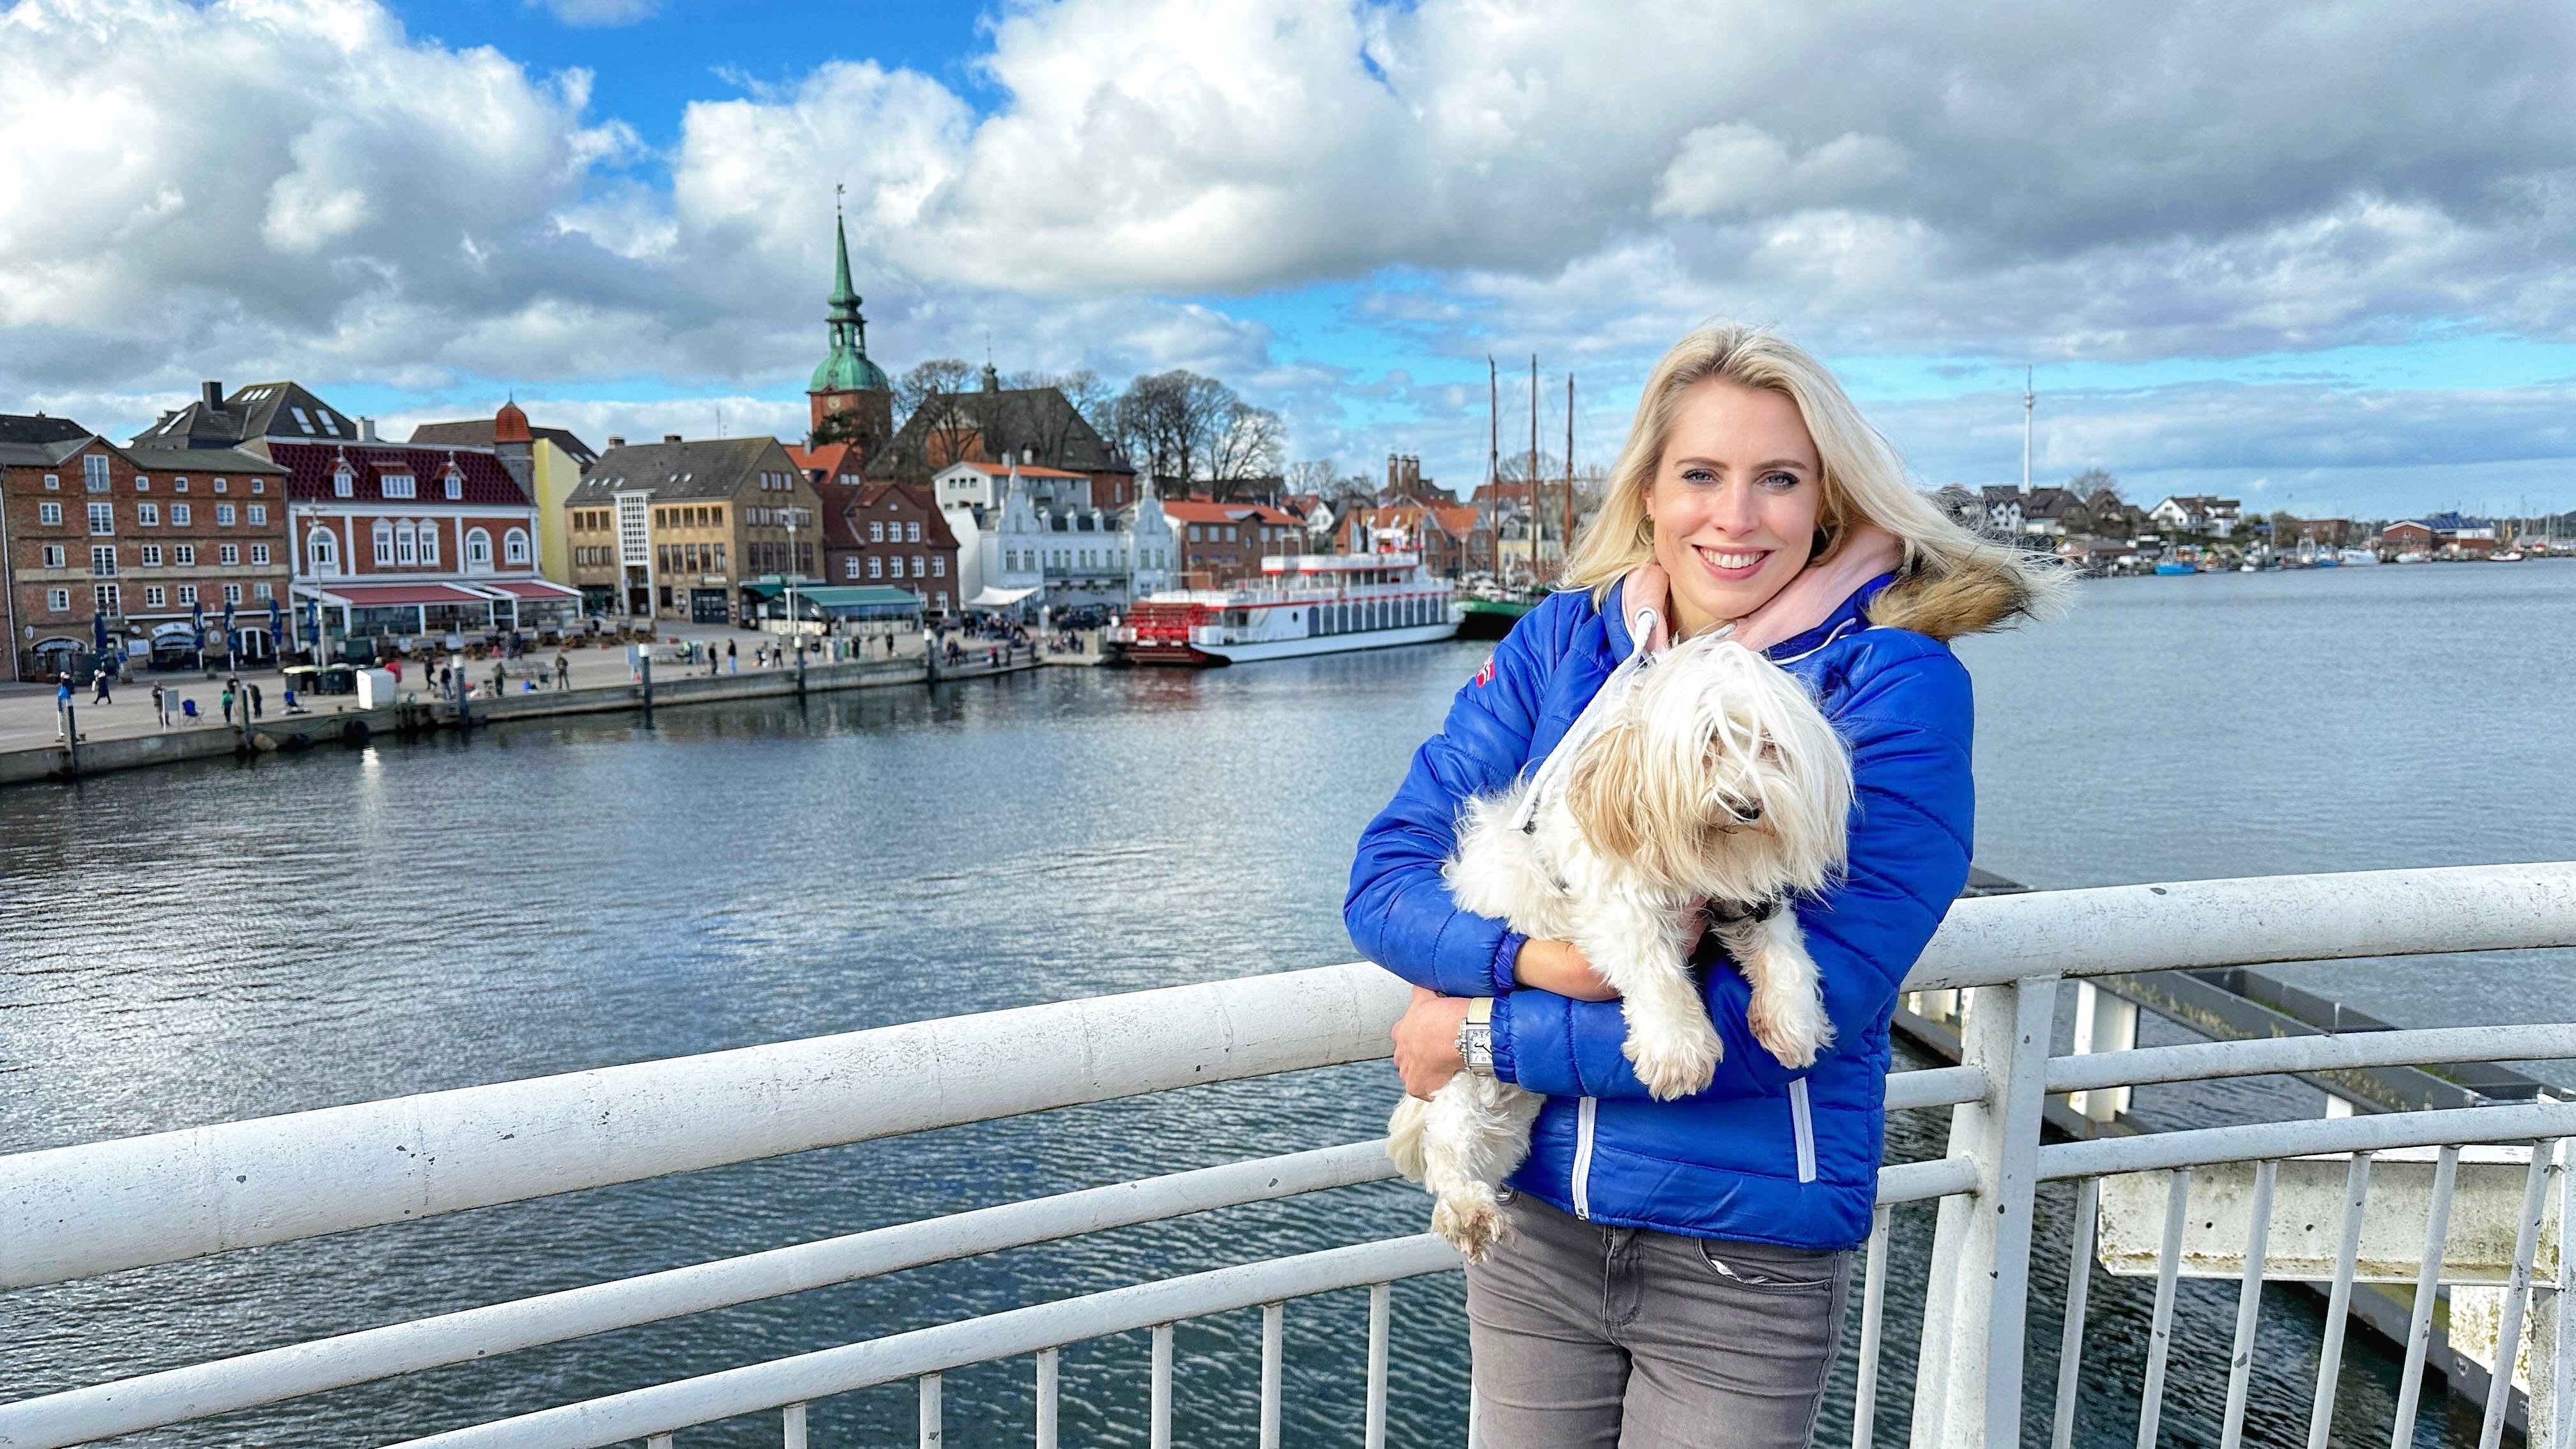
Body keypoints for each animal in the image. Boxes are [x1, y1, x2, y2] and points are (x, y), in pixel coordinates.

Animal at [1391, 631, 1855, 1253]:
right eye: (1707, 743)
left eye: (1768, 745)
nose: (1746, 805)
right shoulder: (1616, 901)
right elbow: (1656, 970)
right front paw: (1679, 1050)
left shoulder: (1749, 901)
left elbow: (1785, 953)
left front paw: (1793, 1021)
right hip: (1465, 1076)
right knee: (1448, 1143)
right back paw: (1466, 1209)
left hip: (1508, 1102)